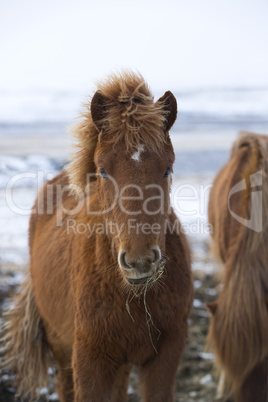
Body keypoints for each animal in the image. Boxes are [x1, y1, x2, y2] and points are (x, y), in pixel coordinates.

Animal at [2, 72, 195, 402]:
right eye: (103, 171)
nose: (139, 261)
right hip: (62, 348)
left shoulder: (165, 358)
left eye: (168, 168)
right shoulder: (90, 363)